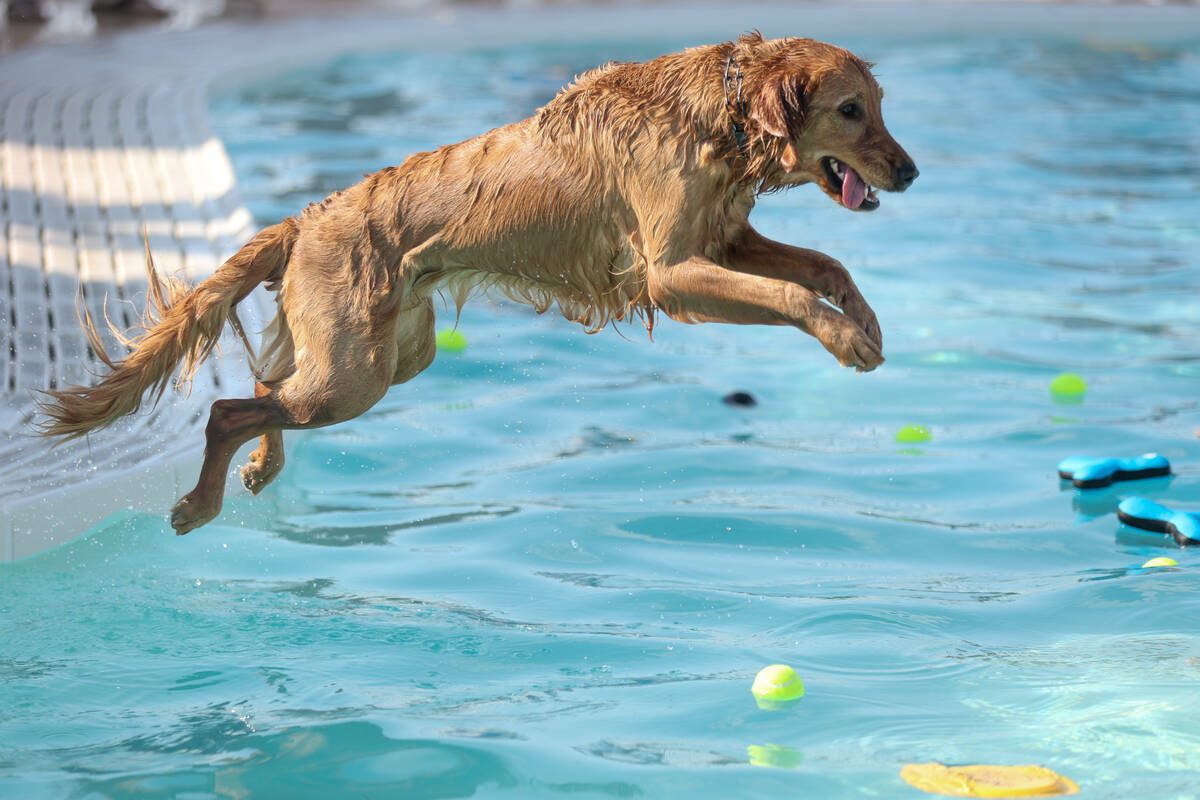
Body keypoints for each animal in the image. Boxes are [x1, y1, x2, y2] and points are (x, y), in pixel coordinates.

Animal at [37, 32, 916, 532]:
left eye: (879, 105)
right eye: (851, 110)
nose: (909, 172)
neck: (719, 116)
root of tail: (305, 220)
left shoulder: (726, 241)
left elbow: (824, 265)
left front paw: (864, 320)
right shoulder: (673, 273)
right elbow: (794, 294)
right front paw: (845, 339)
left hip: (389, 357)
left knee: (265, 383)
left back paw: (260, 467)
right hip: (356, 376)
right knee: (228, 407)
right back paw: (200, 502)